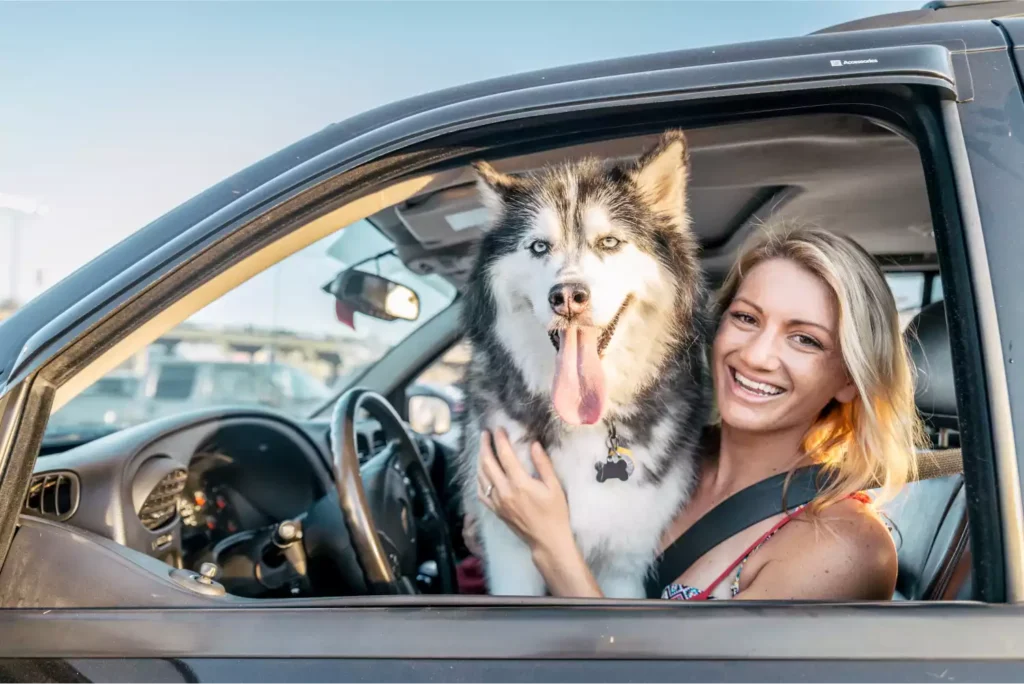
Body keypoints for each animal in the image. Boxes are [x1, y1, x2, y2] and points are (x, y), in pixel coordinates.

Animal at [458, 129, 708, 597]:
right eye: (539, 246)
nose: (568, 296)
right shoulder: (511, 559)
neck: (587, 426)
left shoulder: (625, 565)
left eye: (609, 242)